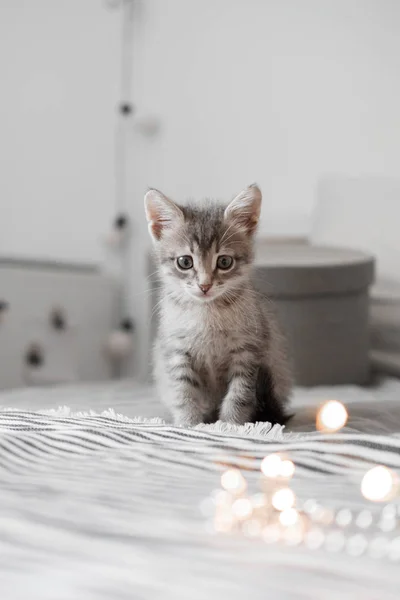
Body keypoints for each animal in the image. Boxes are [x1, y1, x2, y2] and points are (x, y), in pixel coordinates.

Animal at [144, 183, 290, 426]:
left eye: (224, 261)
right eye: (185, 262)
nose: (205, 285)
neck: (207, 314)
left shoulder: (249, 352)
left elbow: (240, 394)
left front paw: (230, 425)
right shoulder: (176, 350)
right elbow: (183, 391)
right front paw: (188, 424)